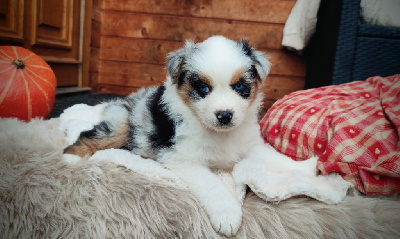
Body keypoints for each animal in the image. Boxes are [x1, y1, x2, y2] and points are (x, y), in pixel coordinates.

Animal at [64, 36, 318, 237]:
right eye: (203, 88)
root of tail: (124, 101)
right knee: (91, 135)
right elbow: (213, 184)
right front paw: (227, 215)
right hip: (122, 126)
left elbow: (275, 157)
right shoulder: (185, 158)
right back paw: (71, 157)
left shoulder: (250, 144)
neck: (221, 134)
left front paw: (309, 168)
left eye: (239, 86)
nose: (224, 115)